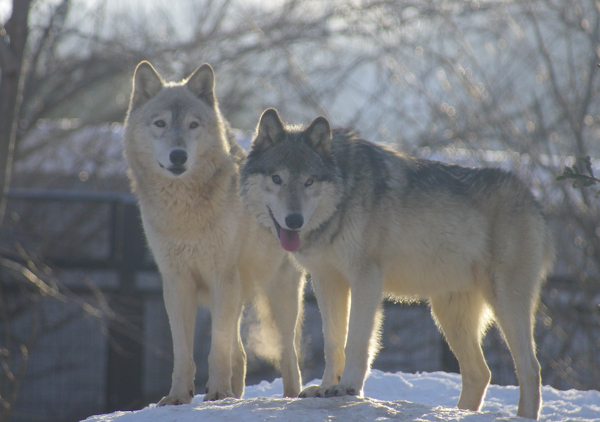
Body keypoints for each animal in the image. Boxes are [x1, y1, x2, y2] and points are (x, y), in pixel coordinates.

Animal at [122, 64, 304, 404]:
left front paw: (218, 392)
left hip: (279, 296)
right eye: (160, 123)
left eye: (193, 125)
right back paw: (237, 394)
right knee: (241, 354)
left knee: (289, 355)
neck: (185, 213)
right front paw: (179, 396)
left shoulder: (222, 277)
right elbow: (183, 352)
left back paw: (290, 397)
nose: (178, 156)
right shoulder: (176, 283)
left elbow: (216, 350)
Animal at [238, 108, 552, 418]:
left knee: (530, 368)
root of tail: (532, 198)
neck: (343, 196)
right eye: (276, 179)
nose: (294, 220)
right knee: (480, 373)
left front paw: (347, 387)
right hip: (449, 314)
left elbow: (356, 342)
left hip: (504, 304)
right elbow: (333, 343)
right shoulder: (326, 281)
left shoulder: (365, 279)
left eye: (309, 182)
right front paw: (326, 387)